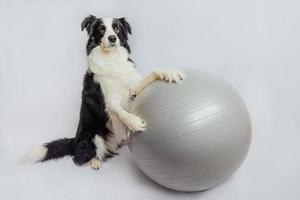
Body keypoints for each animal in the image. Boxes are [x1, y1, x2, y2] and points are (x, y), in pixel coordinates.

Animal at [24, 14, 185, 170]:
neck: (111, 58)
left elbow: (153, 73)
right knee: (80, 158)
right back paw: (94, 161)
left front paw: (170, 73)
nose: (112, 38)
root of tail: (74, 142)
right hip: (94, 135)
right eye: (101, 29)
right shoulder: (107, 101)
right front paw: (134, 122)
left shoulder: (133, 88)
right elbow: (117, 109)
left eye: (117, 28)